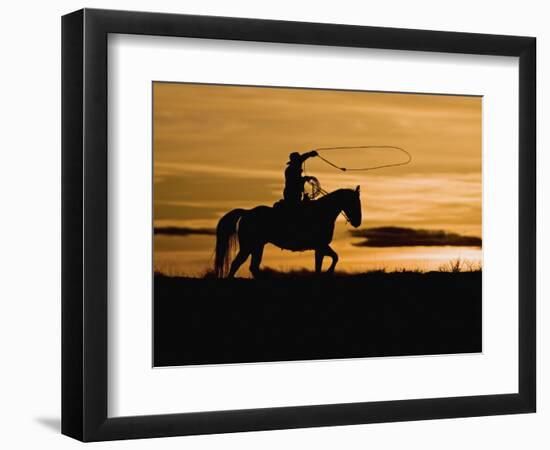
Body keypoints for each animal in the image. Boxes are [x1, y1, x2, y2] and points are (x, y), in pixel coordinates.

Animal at [215, 186, 362, 278]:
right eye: (354, 202)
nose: (357, 222)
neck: (322, 212)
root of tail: (247, 212)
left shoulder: (320, 247)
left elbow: (328, 261)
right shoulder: (320, 246)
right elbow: (330, 260)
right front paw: (328, 273)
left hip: (258, 246)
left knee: (253, 267)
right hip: (248, 246)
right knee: (237, 263)